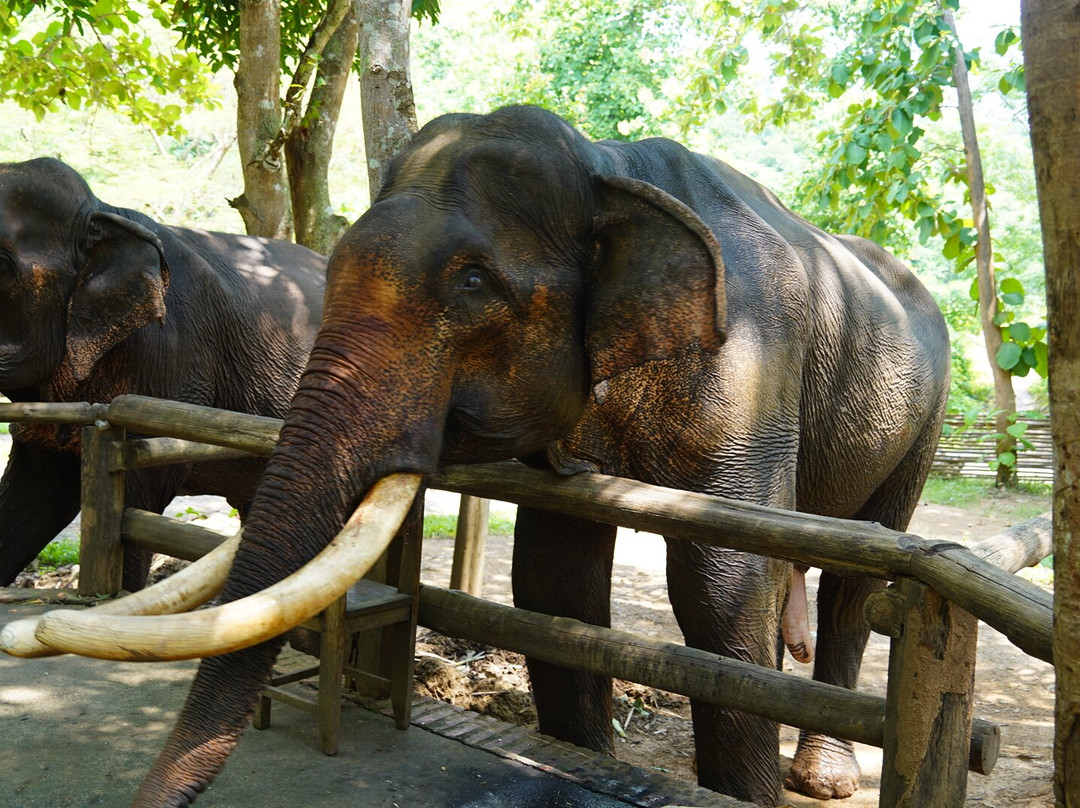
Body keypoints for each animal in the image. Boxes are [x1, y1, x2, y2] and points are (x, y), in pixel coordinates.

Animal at [57, 106, 948, 807]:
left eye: (474, 283)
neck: (608, 164)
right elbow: (555, 579)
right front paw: (584, 759)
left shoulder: (752, 369)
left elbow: (724, 584)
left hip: (923, 425)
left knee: (857, 584)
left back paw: (824, 780)